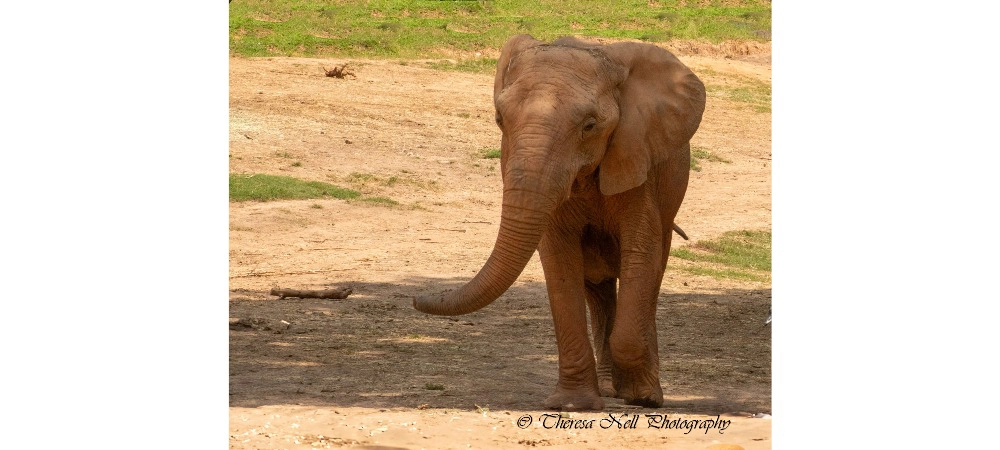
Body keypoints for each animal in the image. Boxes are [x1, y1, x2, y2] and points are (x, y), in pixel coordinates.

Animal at [414, 34, 706, 411]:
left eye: (590, 126)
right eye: (499, 119)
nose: (416, 297)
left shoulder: (638, 160)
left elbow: (640, 252)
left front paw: (643, 399)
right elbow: (559, 259)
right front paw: (572, 405)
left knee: (647, 275)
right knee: (597, 287)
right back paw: (609, 389)